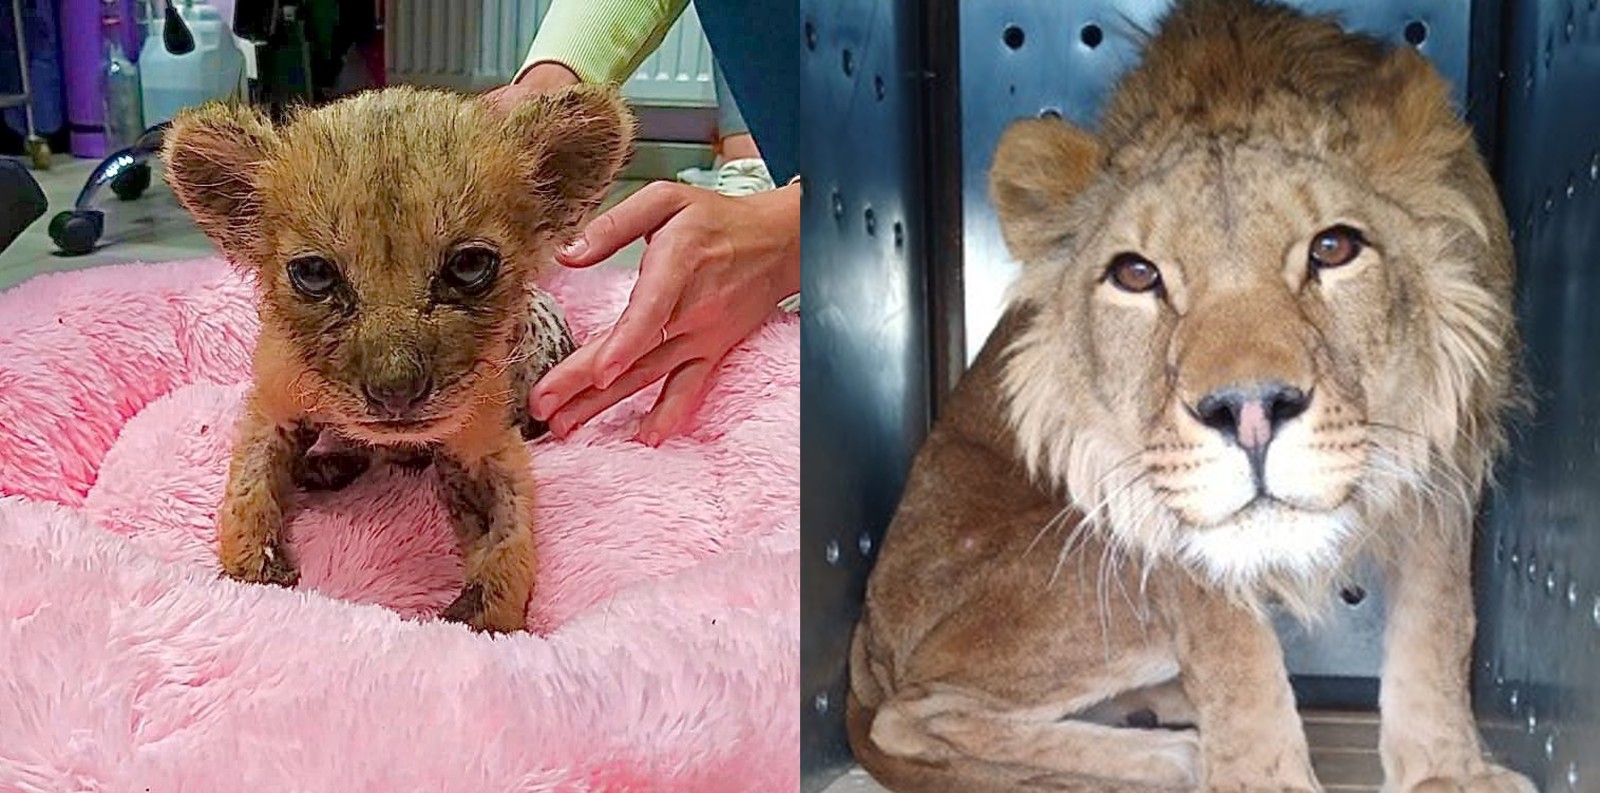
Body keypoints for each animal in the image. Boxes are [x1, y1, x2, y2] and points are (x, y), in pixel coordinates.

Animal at [162, 85, 633, 633]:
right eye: (314, 274)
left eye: (469, 265)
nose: (395, 393)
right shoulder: (275, 401)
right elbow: (247, 484)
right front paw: (254, 567)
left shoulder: (486, 437)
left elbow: (511, 536)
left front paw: (483, 619)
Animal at [851, 1, 1536, 793]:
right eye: (1136, 274)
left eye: (1333, 248)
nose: (1249, 413)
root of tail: (866, 644)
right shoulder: (1153, 495)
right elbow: (1234, 659)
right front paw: (1258, 777)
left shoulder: (1446, 452)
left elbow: (1438, 623)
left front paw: (1447, 775)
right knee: (910, 715)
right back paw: (1172, 753)